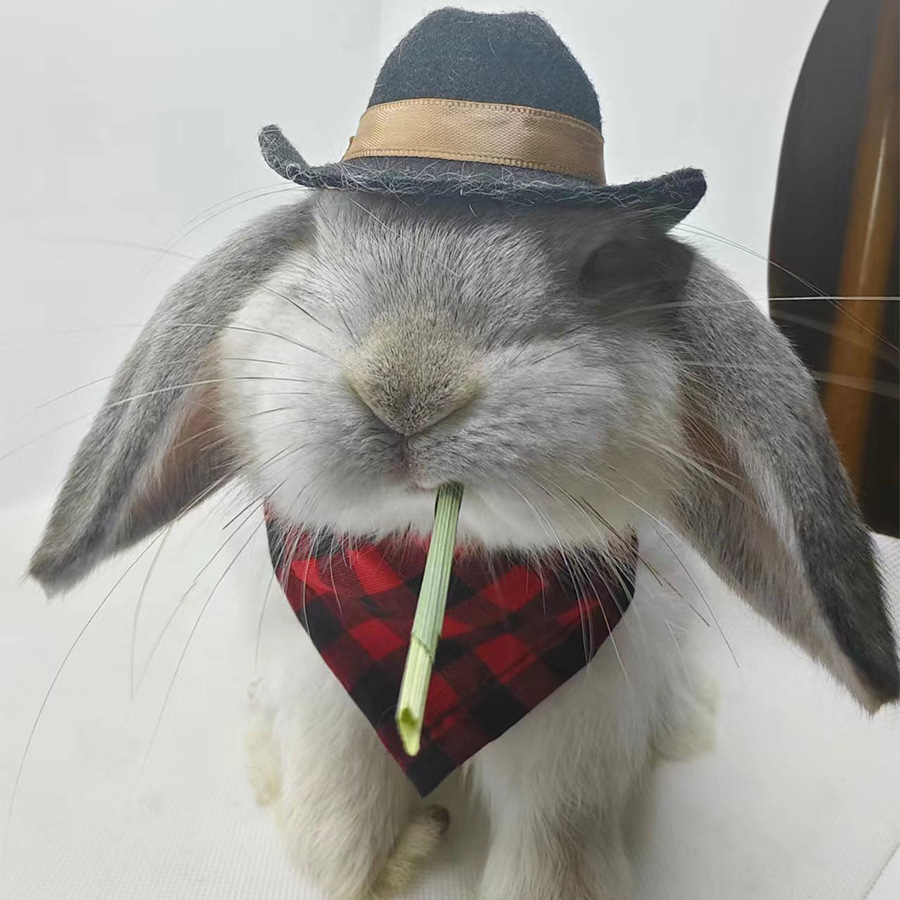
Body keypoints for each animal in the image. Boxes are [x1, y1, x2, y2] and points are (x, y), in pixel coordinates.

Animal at [29, 189, 899, 900]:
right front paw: (382, 855)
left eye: (599, 266)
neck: (436, 588)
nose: (408, 386)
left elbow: (556, 850)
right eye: (319, 236)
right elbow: (334, 838)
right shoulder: (323, 697)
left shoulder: (578, 744)